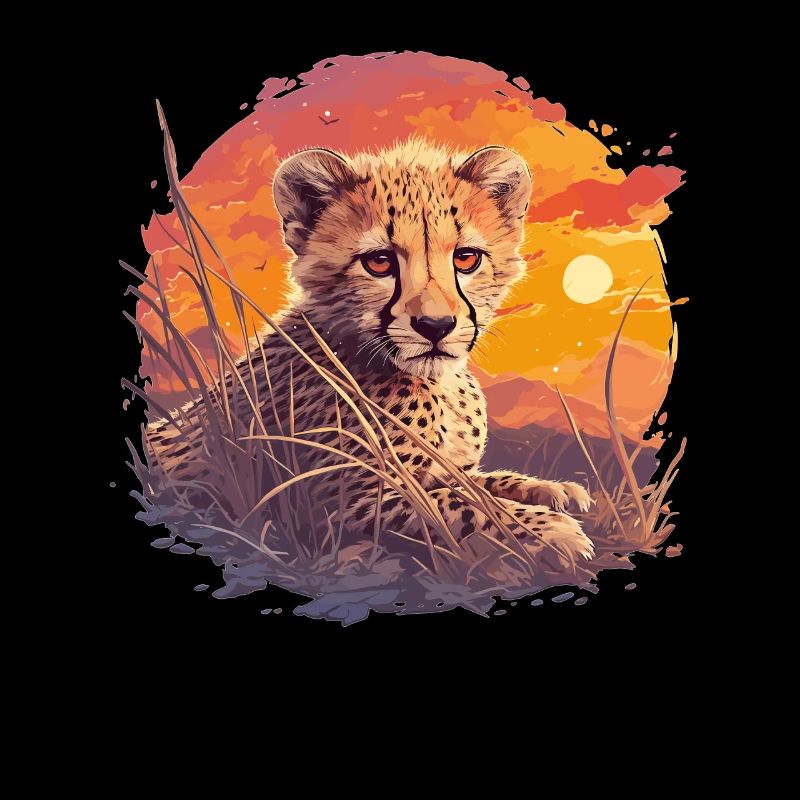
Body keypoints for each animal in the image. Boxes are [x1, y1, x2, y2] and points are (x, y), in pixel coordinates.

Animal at [146, 138, 594, 564]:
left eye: (466, 258)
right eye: (379, 262)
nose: (436, 326)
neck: (439, 385)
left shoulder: (438, 471)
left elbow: (476, 483)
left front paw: (551, 489)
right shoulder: (347, 501)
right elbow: (466, 505)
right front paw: (551, 529)